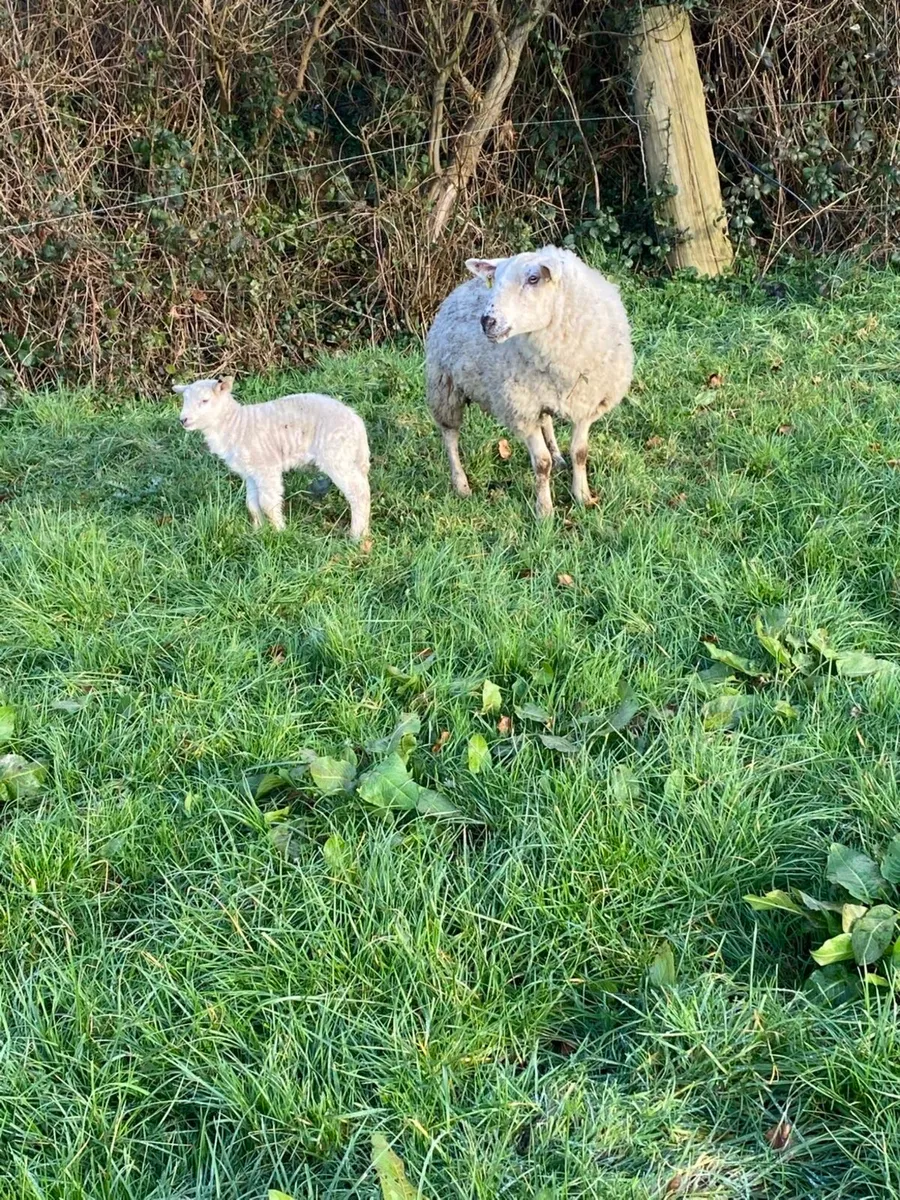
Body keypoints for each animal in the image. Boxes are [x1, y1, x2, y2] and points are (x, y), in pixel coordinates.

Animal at [174, 376, 370, 540]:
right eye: (184, 400)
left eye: (205, 400)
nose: (183, 420)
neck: (235, 425)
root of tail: (356, 420)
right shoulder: (250, 473)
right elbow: (252, 504)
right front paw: (258, 531)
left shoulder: (266, 467)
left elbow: (268, 503)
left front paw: (279, 531)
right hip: (349, 456)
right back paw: (365, 531)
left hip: (336, 454)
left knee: (358, 492)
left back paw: (356, 536)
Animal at [425, 245, 633, 519]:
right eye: (496, 280)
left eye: (533, 279)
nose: (487, 321)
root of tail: (461, 286)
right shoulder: (522, 409)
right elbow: (541, 464)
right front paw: (544, 511)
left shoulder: (586, 403)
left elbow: (580, 453)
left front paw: (582, 496)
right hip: (444, 384)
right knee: (450, 434)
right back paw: (460, 484)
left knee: (547, 421)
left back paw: (559, 458)